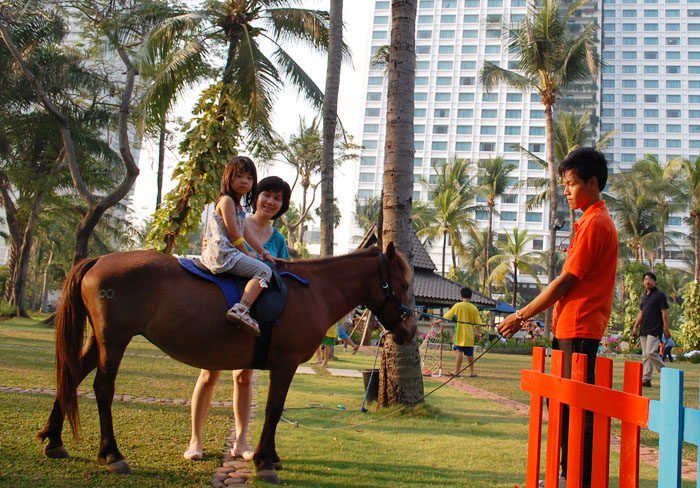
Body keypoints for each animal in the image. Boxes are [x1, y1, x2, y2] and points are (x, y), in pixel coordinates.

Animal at [37, 242, 416, 482]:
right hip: (114, 340)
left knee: (71, 375)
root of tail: (99, 260)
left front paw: (269, 456)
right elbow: (274, 410)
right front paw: (264, 462)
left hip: (100, 341)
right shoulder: (285, 364)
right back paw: (112, 454)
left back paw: (54, 440)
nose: (411, 330)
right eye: (403, 283)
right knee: (102, 388)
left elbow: (273, 411)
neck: (313, 291)